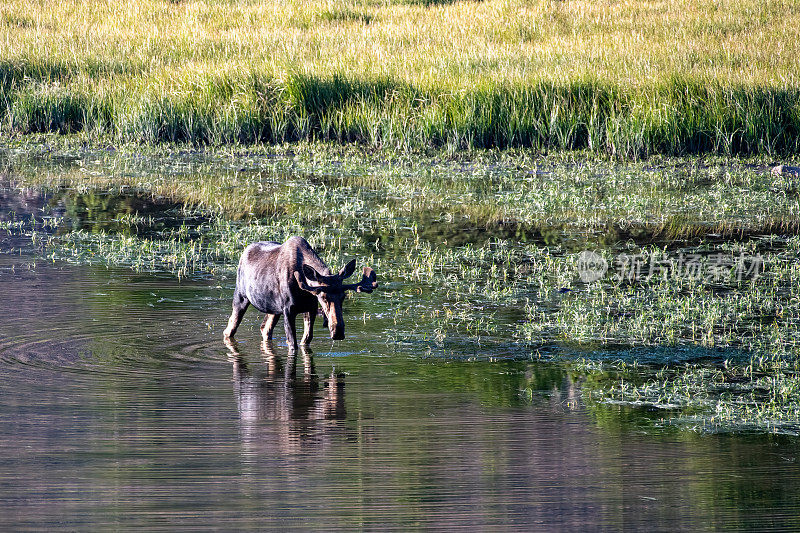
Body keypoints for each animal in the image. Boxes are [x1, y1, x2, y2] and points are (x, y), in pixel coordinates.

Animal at [222, 237, 378, 350]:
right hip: (241, 297)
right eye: (323, 297)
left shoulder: (310, 309)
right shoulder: (288, 309)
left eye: (343, 296)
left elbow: (306, 339)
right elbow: (293, 344)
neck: (305, 293)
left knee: (265, 329)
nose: (338, 332)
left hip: (274, 309)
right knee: (229, 329)